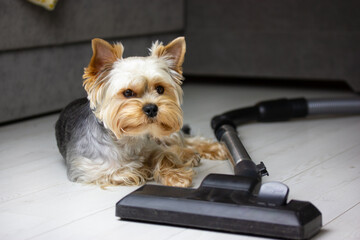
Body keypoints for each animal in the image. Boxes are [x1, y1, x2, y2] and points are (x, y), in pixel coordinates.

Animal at [54, 37, 226, 188]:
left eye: (160, 89)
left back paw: (213, 149)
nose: (151, 108)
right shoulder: (87, 170)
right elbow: (128, 170)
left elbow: (164, 155)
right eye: (128, 93)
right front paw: (144, 168)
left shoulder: (153, 144)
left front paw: (176, 176)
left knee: (181, 139)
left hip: (164, 131)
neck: (130, 139)